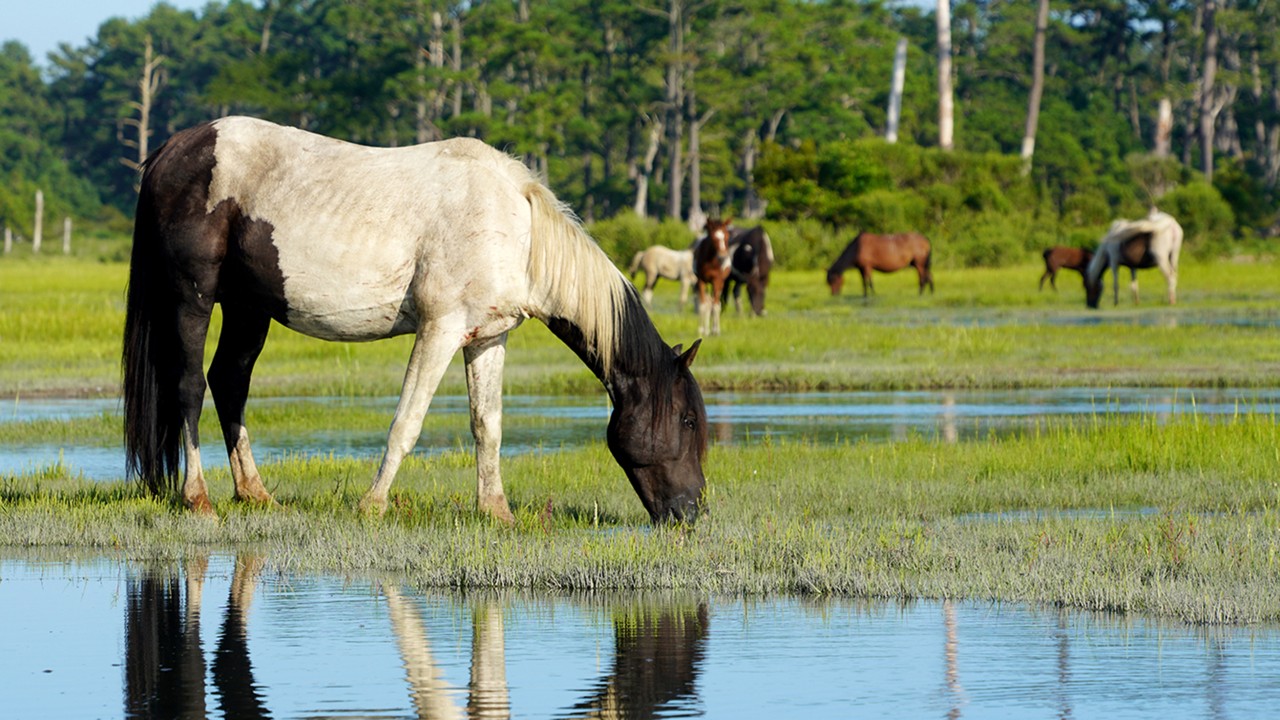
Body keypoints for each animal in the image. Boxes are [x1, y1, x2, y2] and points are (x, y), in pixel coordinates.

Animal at [123, 116, 708, 524]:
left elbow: (487, 427)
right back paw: (198, 498)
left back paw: (255, 494)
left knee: (229, 383)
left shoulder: (486, 340)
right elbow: (406, 423)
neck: (514, 228)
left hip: (249, 310)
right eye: (685, 421)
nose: (692, 512)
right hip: (193, 299)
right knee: (189, 388)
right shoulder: (439, 330)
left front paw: (496, 512)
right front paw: (373, 506)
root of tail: (173, 150)